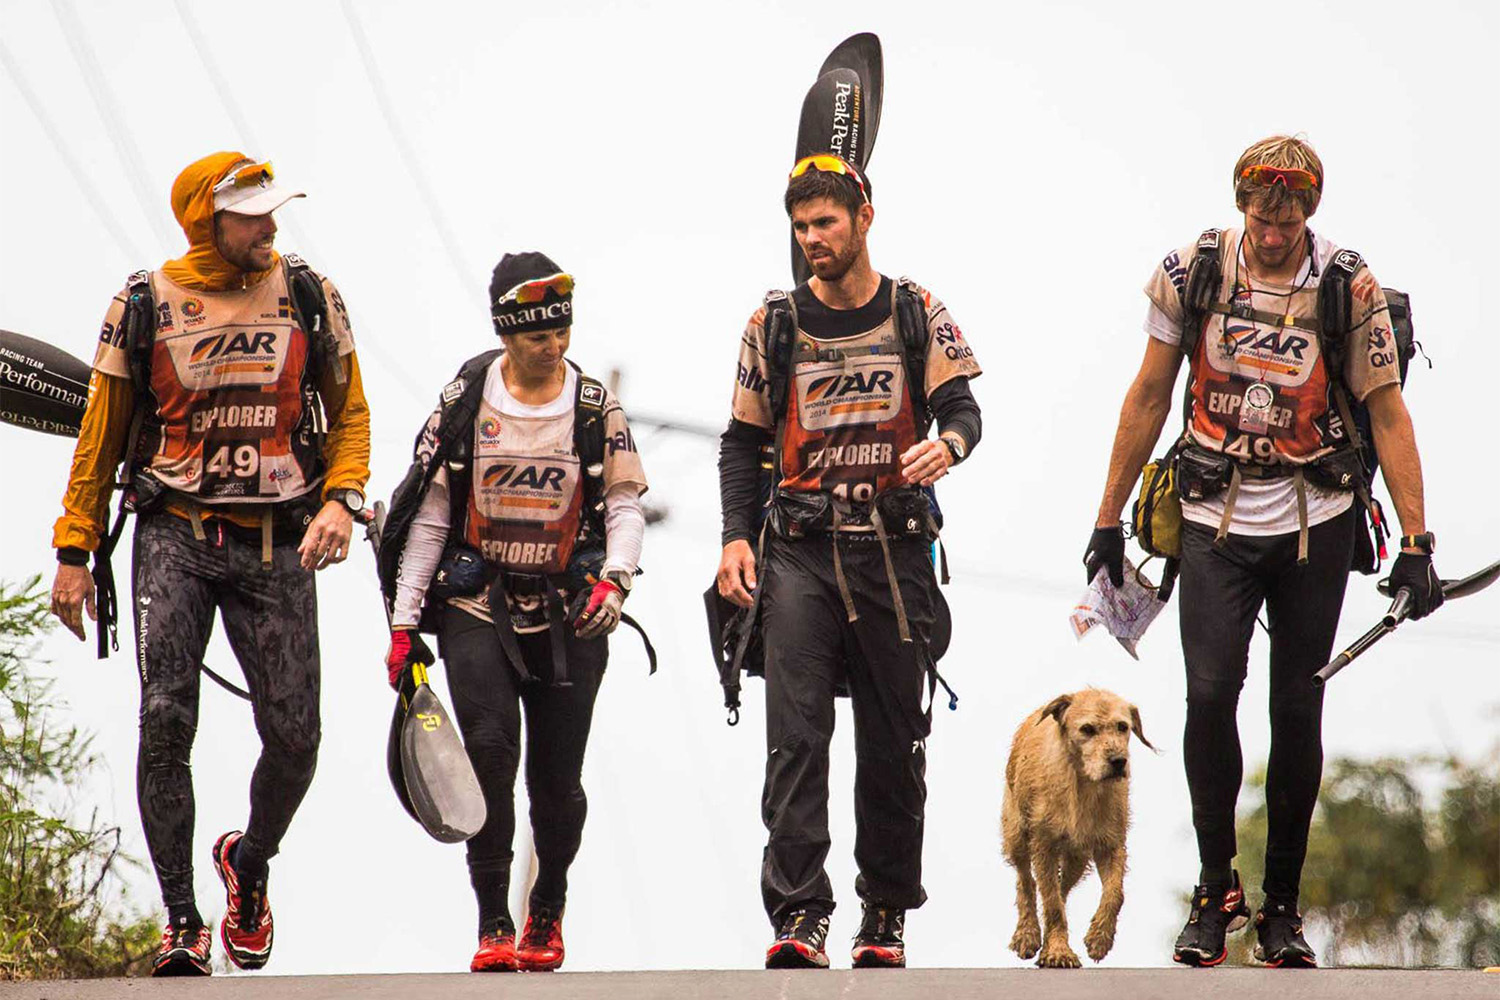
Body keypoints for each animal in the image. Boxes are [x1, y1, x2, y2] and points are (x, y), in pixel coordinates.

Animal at [1002, 692, 1152, 965]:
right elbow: (1051, 902)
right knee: (1027, 882)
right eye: (1087, 729)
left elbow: (1115, 893)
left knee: (1060, 888)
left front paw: (1099, 938)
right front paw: (1058, 951)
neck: (1084, 787)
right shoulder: (1044, 845)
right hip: (1017, 835)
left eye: (1122, 726)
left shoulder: (1111, 844)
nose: (1118, 761)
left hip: (1077, 858)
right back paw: (1027, 934)